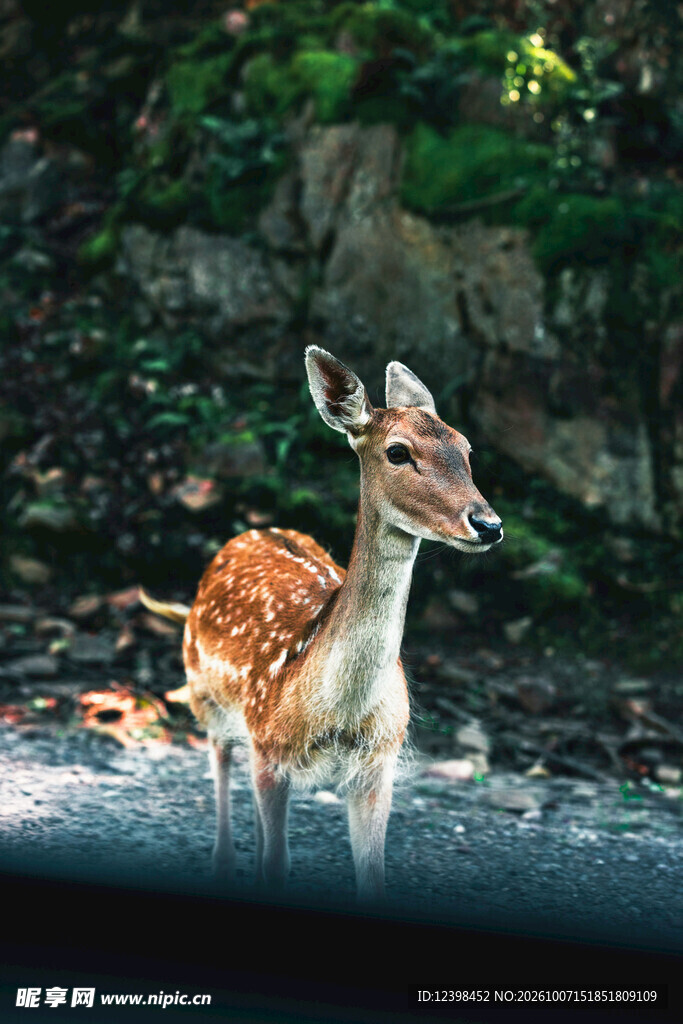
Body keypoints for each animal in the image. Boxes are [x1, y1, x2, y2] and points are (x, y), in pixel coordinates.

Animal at [140, 347, 503, 901]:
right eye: (398, 452)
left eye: (466, 448)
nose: (488, 525)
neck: (339, 717)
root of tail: (251, 531)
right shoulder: (270, 750)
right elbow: (277, 864)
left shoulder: (379, 767)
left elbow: (371, 877)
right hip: (205, 695)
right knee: (219, 766)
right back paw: (223, 860)